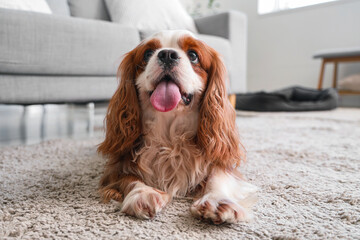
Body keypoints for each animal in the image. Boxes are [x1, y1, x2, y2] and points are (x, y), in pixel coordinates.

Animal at [97, 30, 258, 225]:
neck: (170, 135)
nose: (167, 54)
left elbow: (218, 176)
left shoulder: (220, 158)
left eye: (193, 56)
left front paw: (217, 201)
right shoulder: (116, 167)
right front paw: (143, 193)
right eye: (147, 54)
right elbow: (128, 178)